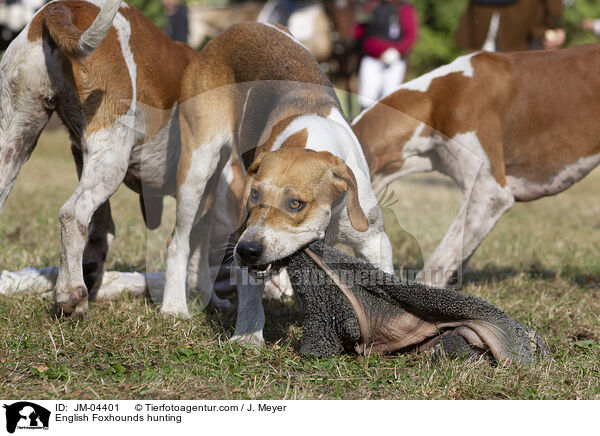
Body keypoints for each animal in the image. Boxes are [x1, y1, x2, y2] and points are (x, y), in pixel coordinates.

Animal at [0, 0, 209, 316]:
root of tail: (62, 7)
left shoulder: (80, 153)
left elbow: (102, 228)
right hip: (112, 156)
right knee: (72, 213)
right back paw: (70, 294)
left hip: (16, 141)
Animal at [162, 22, 394, 346]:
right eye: (254, 195)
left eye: (295, 203)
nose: (248, 250)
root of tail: (237, 27)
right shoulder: (242, 232)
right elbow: (249, 298)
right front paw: (247, 338)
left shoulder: (374, 239)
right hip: (197, 167)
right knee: (178, 242)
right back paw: (173, 306)